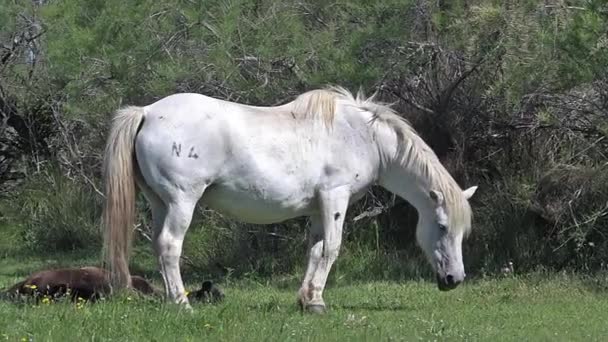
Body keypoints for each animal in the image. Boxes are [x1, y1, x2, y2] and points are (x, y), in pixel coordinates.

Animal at [102, 85, 478, 312]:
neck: (363, 136)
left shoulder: (317, 209)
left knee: (158, 246)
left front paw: (309, 300)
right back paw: (183, 304)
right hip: (182, 202)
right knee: (170, 246)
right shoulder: (335, 198)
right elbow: (332, 249)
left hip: (160, 203)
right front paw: (317, 302)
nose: (455, 280)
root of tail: (147, 112)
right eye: (442, 226)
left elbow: (315, 250)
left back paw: (171, 300)